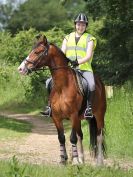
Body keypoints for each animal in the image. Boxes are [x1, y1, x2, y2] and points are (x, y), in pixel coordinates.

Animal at [17, 35, 106, 166]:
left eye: (37, 52)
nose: (21, 69)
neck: (62, 87)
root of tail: (100, 82)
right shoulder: (56, 117)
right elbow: (61, 138)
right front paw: (63, 159)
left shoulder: (73, 116)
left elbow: (72, 138)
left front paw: (74, 161)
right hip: (80, 119)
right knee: (81, 135)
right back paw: (82, 159)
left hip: (99, 115)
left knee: (99, 136)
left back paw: (99, 162)